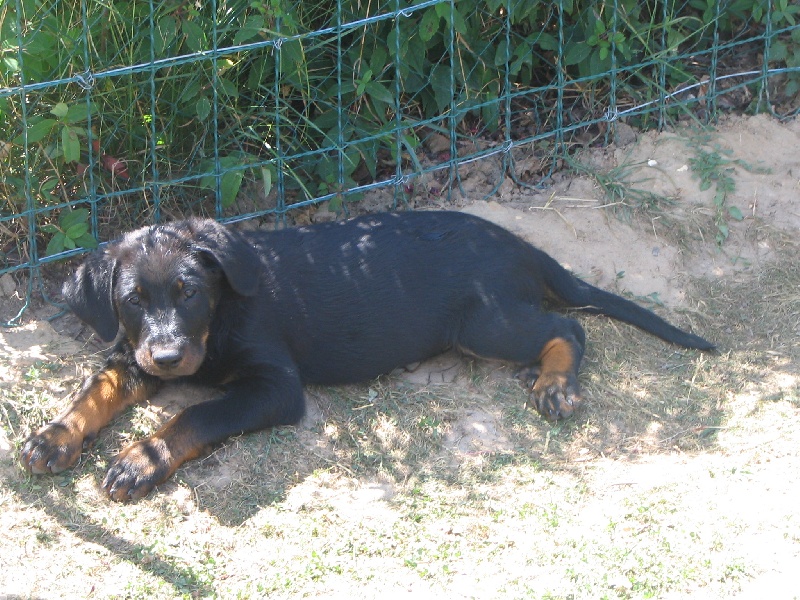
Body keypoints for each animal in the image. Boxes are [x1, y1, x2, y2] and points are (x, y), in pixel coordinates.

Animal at [21, 211, 712, 502]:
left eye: (189, 292)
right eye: (132, 301)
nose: (167, 355)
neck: (218, 321)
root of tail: (518, 243)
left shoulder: (275, 386)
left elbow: (193, 415)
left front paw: (141, 459)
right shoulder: (131, 354)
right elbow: (96, 389)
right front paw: (54, 435)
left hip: (481, 320)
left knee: (567, 324)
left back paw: (556, 384)